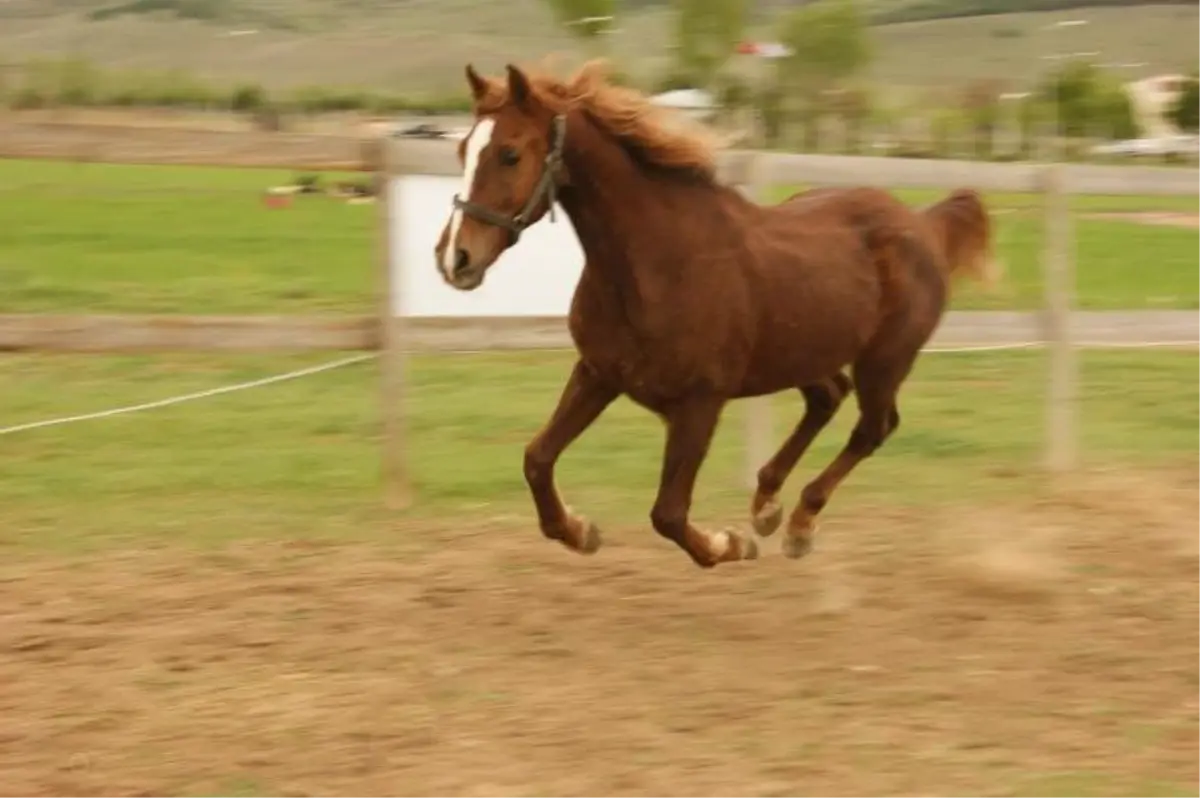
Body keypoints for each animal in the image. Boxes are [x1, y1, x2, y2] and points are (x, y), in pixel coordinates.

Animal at [432, 62, 993, 568]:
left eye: (509, 154)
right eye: (462, 151)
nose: (455, 258)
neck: (657, 265)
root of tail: (923, 224)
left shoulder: (701, 401)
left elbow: (668, 513)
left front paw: (731, 544)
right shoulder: (597, 373)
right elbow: (537, 459)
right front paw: (580, 530)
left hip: (886, 360)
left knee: (873, 428)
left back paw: (798, 525)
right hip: (802, 352)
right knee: (828, 397)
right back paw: (766, 506)